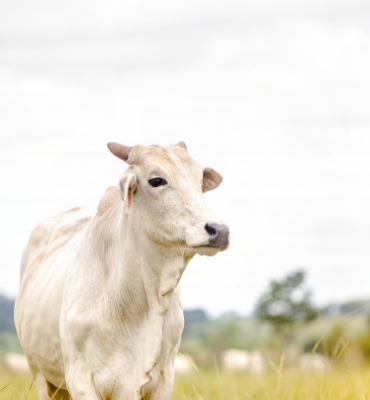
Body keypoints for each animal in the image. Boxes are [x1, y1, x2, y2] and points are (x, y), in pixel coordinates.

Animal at [15, 143, 228, 400]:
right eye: (157, 180)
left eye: (199, 181)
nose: (219, 230)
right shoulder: (80, 378)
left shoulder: (164, 378)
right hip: (39, 374)